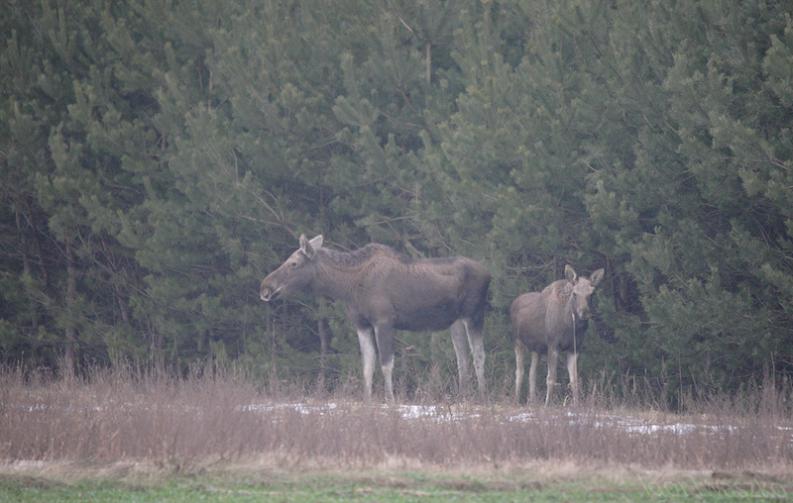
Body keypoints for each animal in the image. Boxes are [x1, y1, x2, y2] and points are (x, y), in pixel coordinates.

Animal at [256, 234, 488, 404]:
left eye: (293, 263)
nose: (265, 287)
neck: (347, 288)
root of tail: (489, 274)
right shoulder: (362, 324)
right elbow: (367, 365)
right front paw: (367, 399)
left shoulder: (383, 320)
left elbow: (386, 363)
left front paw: (390, 398)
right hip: (455, 321)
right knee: (462, 358)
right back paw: (462, 396)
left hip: (474, 314)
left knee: (479, 354)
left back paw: (481, 396)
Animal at [510, 266, 604, 408]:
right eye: (574, 293)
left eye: (592, 293)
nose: (585, 313)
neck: (571, 326)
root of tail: (513, 303)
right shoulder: (553, 345)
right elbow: (551, 378)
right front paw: (547, 404)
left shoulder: (574, 348)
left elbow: (574, 380)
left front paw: (577, 404)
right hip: (518, 341)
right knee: (519, 371)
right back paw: (516, 401)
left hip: (536, 348)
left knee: (532, 373)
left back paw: (533, 402)